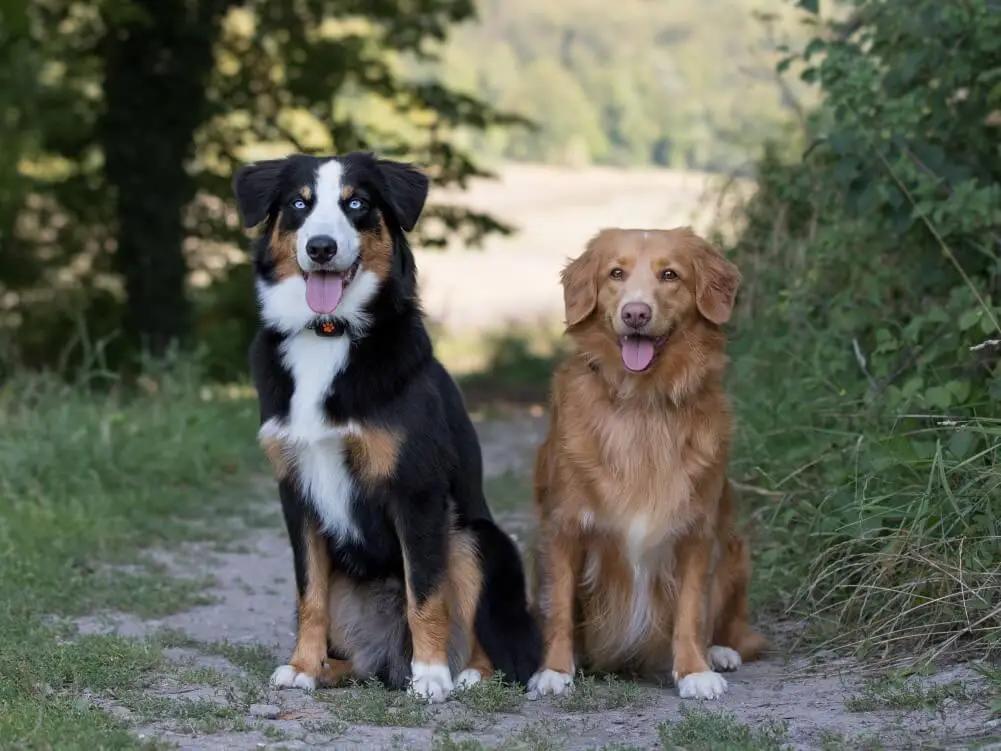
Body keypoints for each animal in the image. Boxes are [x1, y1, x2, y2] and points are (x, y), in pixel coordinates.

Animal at [532, 226, 764, 704]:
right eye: (615, 273)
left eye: (670, 275)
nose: (635, 313)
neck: (642, 402)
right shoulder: (564, 528)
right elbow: (560, 605)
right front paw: (555, 671)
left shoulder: (697, 530)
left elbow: (692, 609)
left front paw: (694, 670)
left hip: (735, 549)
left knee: (731, 624)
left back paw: (721, 651)